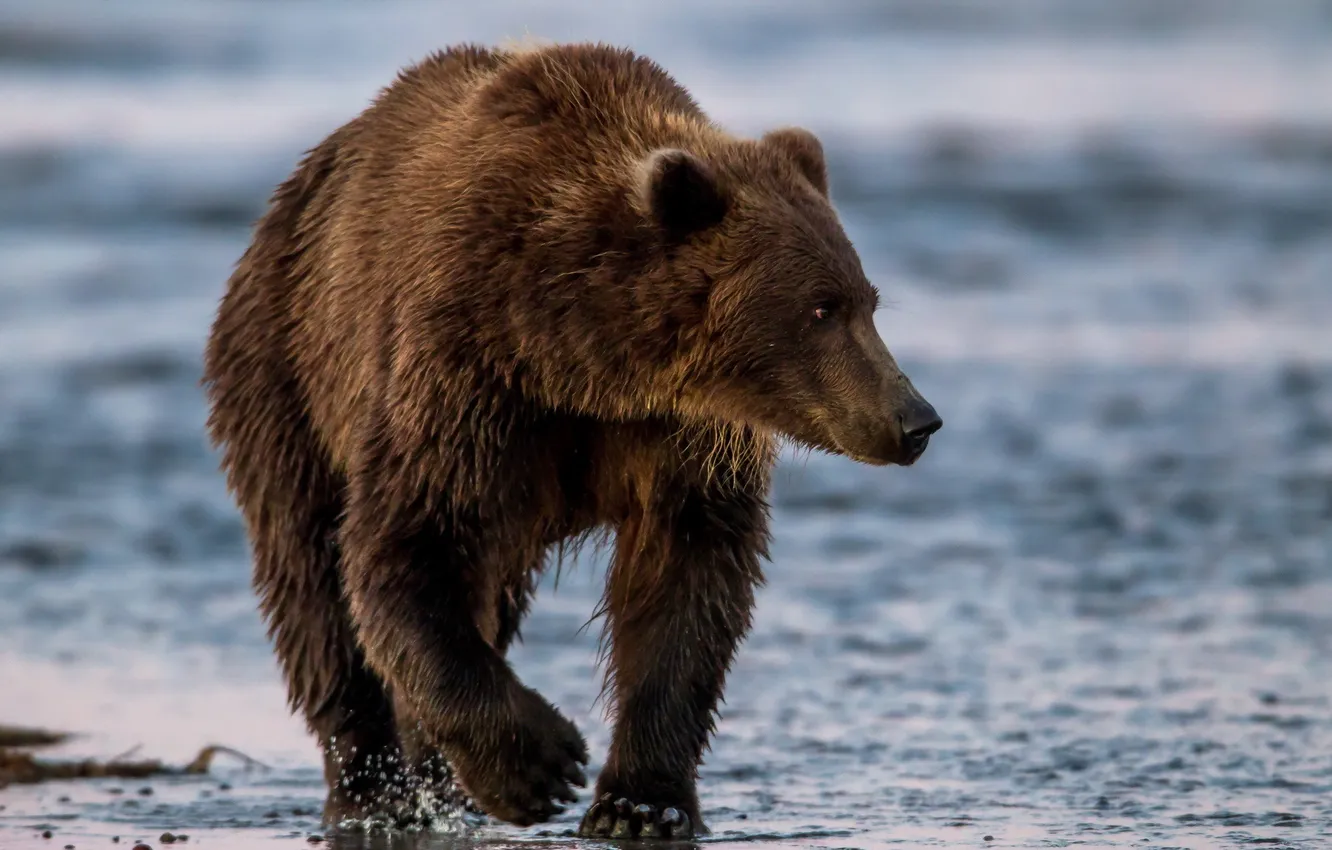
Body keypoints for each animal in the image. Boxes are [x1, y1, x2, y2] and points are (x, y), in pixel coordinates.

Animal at [202, 42, 940, 839]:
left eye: (868, 301)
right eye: (821, 308)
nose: (915, 419)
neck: (584, 358)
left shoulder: (678, 439)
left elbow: (685, 586)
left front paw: (642, 803)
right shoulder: (462, 378)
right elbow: (406, 543)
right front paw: (541, 765)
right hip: (284, 372)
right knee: (311, 584)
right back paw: (377, 790)